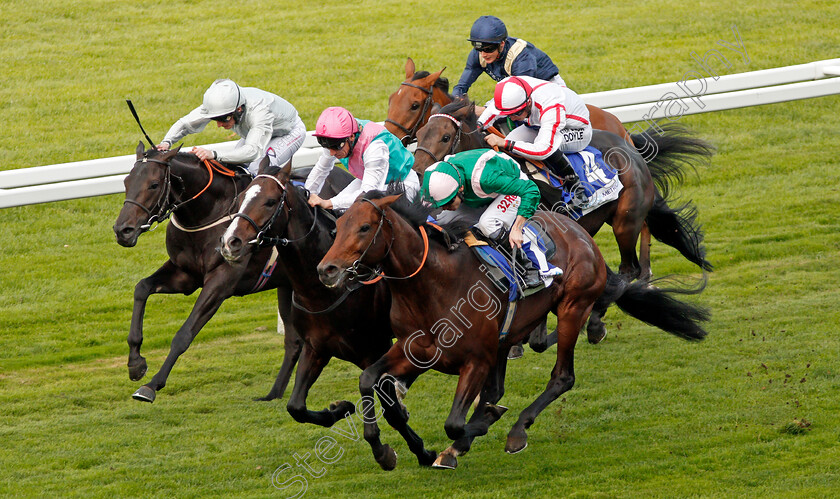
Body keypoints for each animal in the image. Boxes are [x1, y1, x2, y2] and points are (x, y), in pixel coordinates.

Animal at [110, 143, 352, 404]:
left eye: (154, 184)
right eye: (126, 181)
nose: (123, 230)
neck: (207, 213)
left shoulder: (221, 281)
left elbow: (185, 334)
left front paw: (151, 385)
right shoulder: (185, 274)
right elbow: (142, 288)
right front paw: (135, 363)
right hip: (288, 284)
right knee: (294, 340)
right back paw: (273, 394)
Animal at [217, 159, 440, 468]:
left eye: (270, 201)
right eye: (240, 199)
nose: (230, 242)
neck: (323, 290)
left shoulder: (373, 348)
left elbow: (389, 410)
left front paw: (410, 452)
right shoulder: (316, 347)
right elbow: (296, 407)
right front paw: (341, 408)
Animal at [316, 189, 708, 470]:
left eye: (364, 228)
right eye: (337, 228)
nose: (326, 269)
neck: (433, 286)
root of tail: (580, 233)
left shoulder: (476, 358)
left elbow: (455, 422)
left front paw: (475, 427)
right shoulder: (415, 349)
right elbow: (369, 378)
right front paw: (383, 450)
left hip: (571, 306)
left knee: (562, 376)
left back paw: (516, 430)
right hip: (509, 336)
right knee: (506, 379)